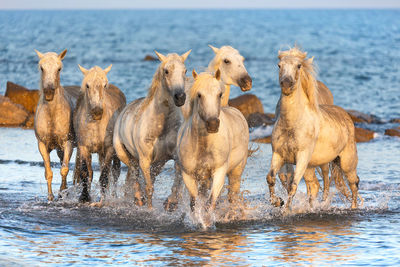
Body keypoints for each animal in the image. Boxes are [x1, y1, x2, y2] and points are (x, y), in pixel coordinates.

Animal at [34, 49, 80, 201]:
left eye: (59, 68)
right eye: (41, 68)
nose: (49, 93)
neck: (52, 116)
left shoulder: (68, 143)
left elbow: (64, 169)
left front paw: (62, 192)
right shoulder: (42, 145)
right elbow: (48, 172)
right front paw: (50, 196)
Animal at [73, 64, 126, 203]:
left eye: (104, 85)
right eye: (87, 85)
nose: (97, 112)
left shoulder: (109, 149)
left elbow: (105, 175)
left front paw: (103, 199)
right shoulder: (84, 148)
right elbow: (86, 173)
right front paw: (84, 197)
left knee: (115, 173)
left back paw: (113, 196)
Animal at [112, 49, 191, 209]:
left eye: (185, 70)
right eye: (166, 71)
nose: (180, 97)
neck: (162, 126)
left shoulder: (174, 157)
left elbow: (178, 182)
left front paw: (171, 202)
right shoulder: (144, 159)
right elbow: (149, 187)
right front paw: (150, 209)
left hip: (158, 163)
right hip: (125, 155)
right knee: (134, 172)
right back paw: (138, 198)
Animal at [177, 70, 248, 215]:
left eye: (219, 94)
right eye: (199, 95)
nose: (213, 124)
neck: (203, 145)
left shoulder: (220, 171)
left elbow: (210, 203)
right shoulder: (188, 175)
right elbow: (194, 204)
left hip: (236, 171)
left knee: (233, 197)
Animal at [266, 48, 360, 211]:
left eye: (298, 66)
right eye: (279, 65)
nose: (286, 84)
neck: (292, 124)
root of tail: (345, 115)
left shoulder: (302, 157)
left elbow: (293, 185)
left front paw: (286, 211)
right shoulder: (278, 155)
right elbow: (271, 178)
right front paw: (278, 202)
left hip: (346, 163)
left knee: (353, 184)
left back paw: (353, 208)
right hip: (311, 166)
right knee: (315, 185)